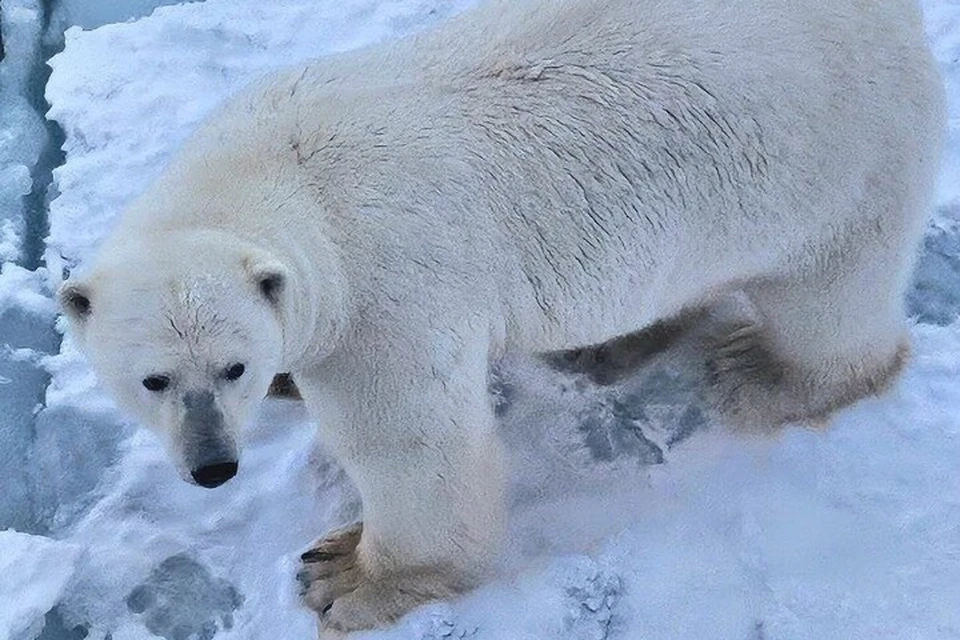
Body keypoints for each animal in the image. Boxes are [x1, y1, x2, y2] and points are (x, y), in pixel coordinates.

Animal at [60, 0, 944, 636]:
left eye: (231, 366)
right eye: (153, 379)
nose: (213, 466)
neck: (276, 167)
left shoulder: (381, 296)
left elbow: (413, 447)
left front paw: (342, 574)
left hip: (836, 163)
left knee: (831, 295)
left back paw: (761, 373)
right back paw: (606, 349)